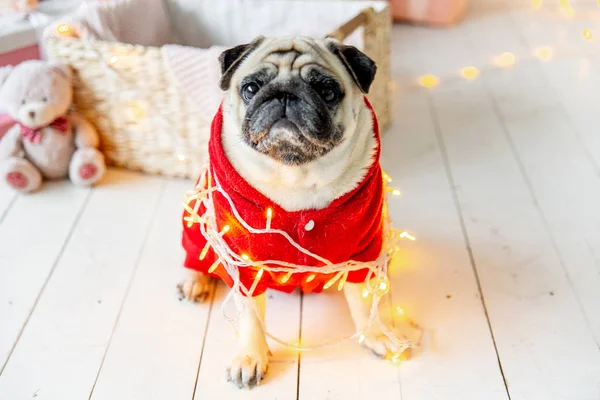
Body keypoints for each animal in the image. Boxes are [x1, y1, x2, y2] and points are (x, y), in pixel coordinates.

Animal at [176, 35, 396, 388]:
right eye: (251, 88)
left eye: (327, 91)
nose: (284, 94)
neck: (296, 172)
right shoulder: (246, 265)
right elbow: (251, 318)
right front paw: (251, 357)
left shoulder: (361, 253)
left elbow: (363, 301)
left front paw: (375, 333)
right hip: (196, 214)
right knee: (196, 252)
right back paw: (195, 279)